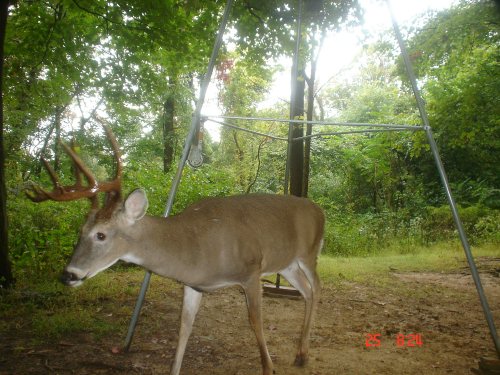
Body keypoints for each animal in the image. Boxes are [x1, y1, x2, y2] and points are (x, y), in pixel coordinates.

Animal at [26, 126, 324, 375]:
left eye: (101, 234)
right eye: (80, 231)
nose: (68, 275)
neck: (195, 246)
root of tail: (319, 209)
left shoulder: (251, 271)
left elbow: (255, 321)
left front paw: (268, 367)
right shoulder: (193, 285)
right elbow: (184, 328)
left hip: (309, 253)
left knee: (317, 287)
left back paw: (302, 353)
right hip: (287, 264)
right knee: (307, 291)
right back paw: (301, 354)